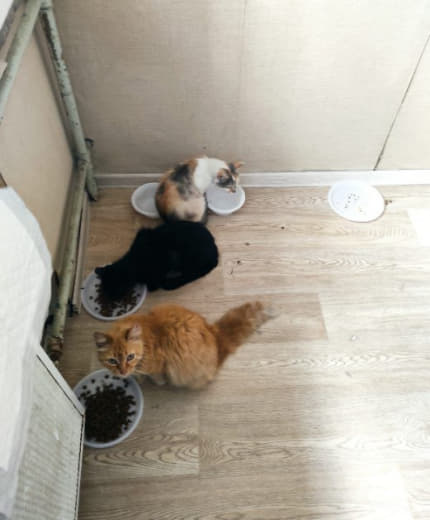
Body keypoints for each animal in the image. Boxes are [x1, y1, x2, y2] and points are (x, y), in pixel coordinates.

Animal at [94, 301, 274, 389]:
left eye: (130, 356)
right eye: (112, 361)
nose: (122, 372)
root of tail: (215, 334)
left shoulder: (158, 366)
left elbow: (156, 376)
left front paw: (158, 382)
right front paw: (137, 378)